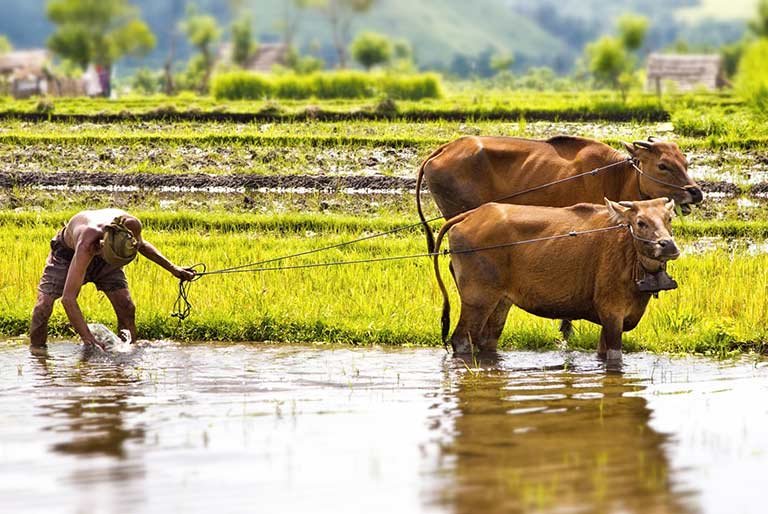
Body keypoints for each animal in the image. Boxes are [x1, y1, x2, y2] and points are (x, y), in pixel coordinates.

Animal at [432, 196, 680, 360]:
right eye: (640, 222)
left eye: (669, 218)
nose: (668, 245)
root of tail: (471, 215)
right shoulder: (611, 312)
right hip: (478, 299)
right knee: (462, 339)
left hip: (501, 302)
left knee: (487, 340)